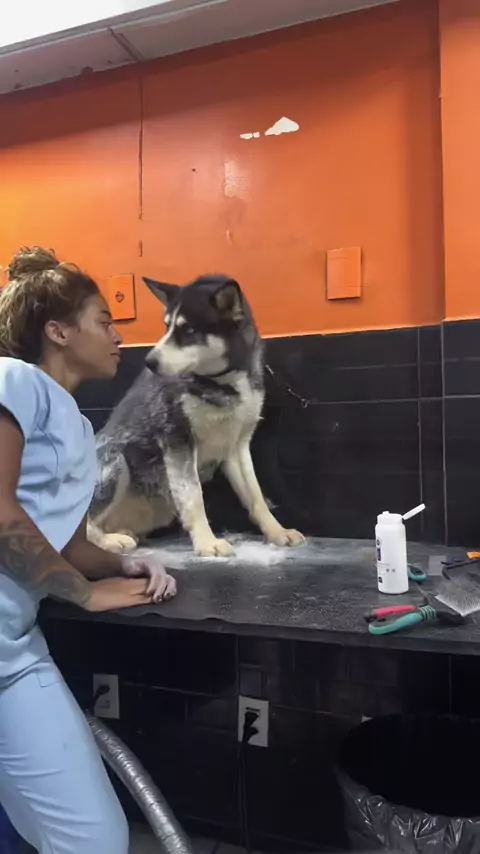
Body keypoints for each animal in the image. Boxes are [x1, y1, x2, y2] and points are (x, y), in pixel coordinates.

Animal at [87, 274, 305, 557]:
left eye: (189, 330)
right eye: (167, 326)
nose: (149, 361)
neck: (224, 385)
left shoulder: (237, 447)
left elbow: (256, 497)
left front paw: (277, 532)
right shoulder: (177, 440)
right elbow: (193, 496)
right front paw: (206, 542)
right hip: (116, 459)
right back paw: (108, 541)